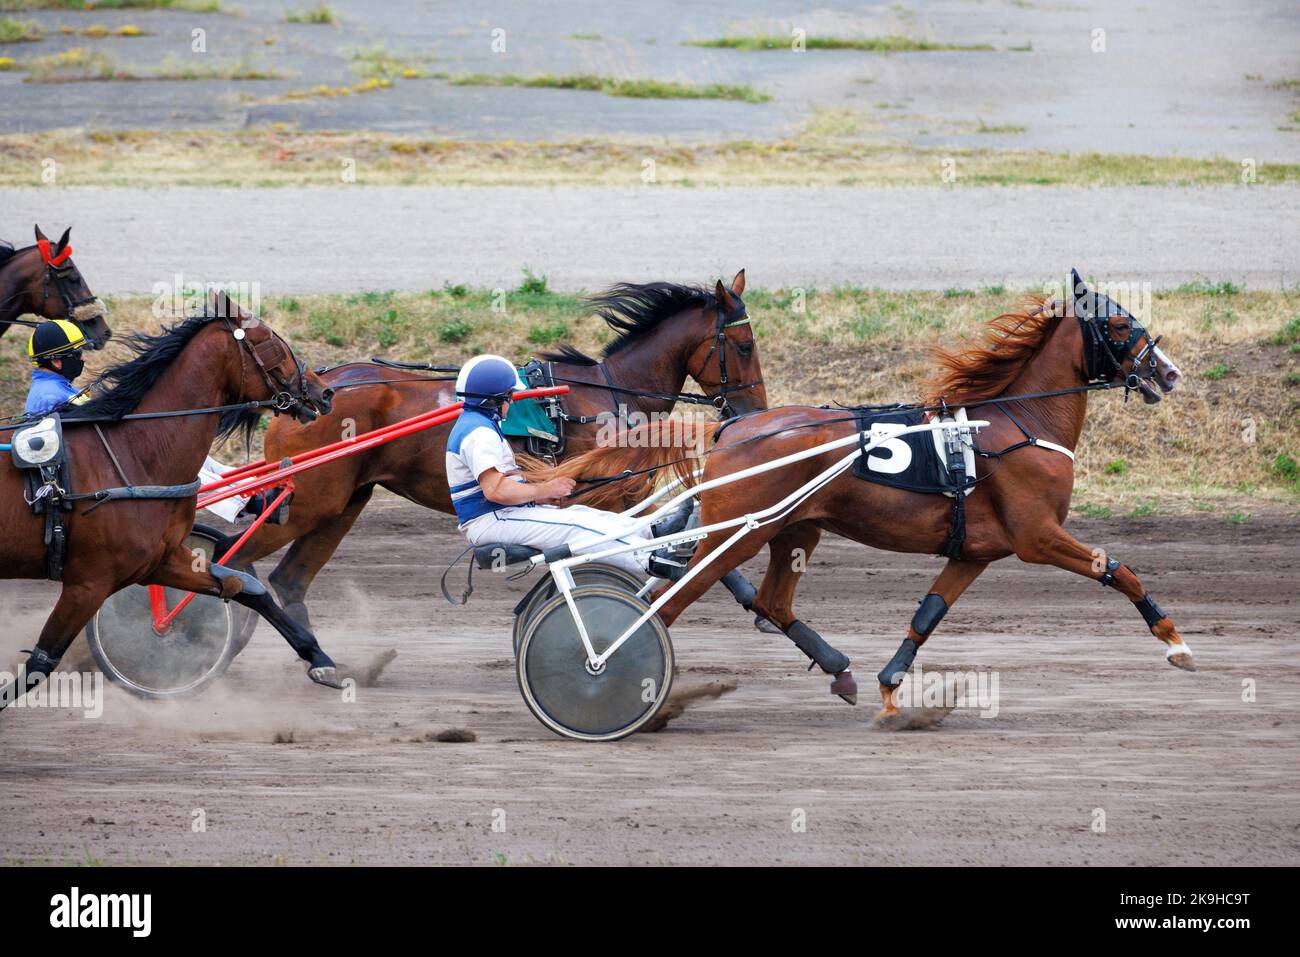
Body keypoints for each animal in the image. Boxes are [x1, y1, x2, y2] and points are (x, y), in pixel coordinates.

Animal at [0, 293, 340, 712]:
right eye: (274, 345)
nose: (325, 392)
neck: (133, 453)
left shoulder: (160, 561)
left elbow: (243, 586)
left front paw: (318, 658)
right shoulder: (88, 582)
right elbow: (40, 663)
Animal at [222, 269, 759, 631]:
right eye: (745, 345)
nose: (753, 410)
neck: (606, 396)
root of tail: (301, 393)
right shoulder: (606, 495)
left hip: (343, 502)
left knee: (287, 580)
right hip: (311, 499)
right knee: (235, 560)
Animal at [533, 269, 1190, 722]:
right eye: (1120, 325)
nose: (1169, 372)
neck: (1015, 424)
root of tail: (732, 430)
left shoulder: (975, 551)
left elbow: (929, 613)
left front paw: (891, 686)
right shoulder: (1038, 536)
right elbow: (1117, 568)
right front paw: (1175, 642)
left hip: (794, 528)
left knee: (767, 602)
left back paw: (838, 670)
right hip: (739, 531)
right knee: (669, 601)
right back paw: (621, 678)